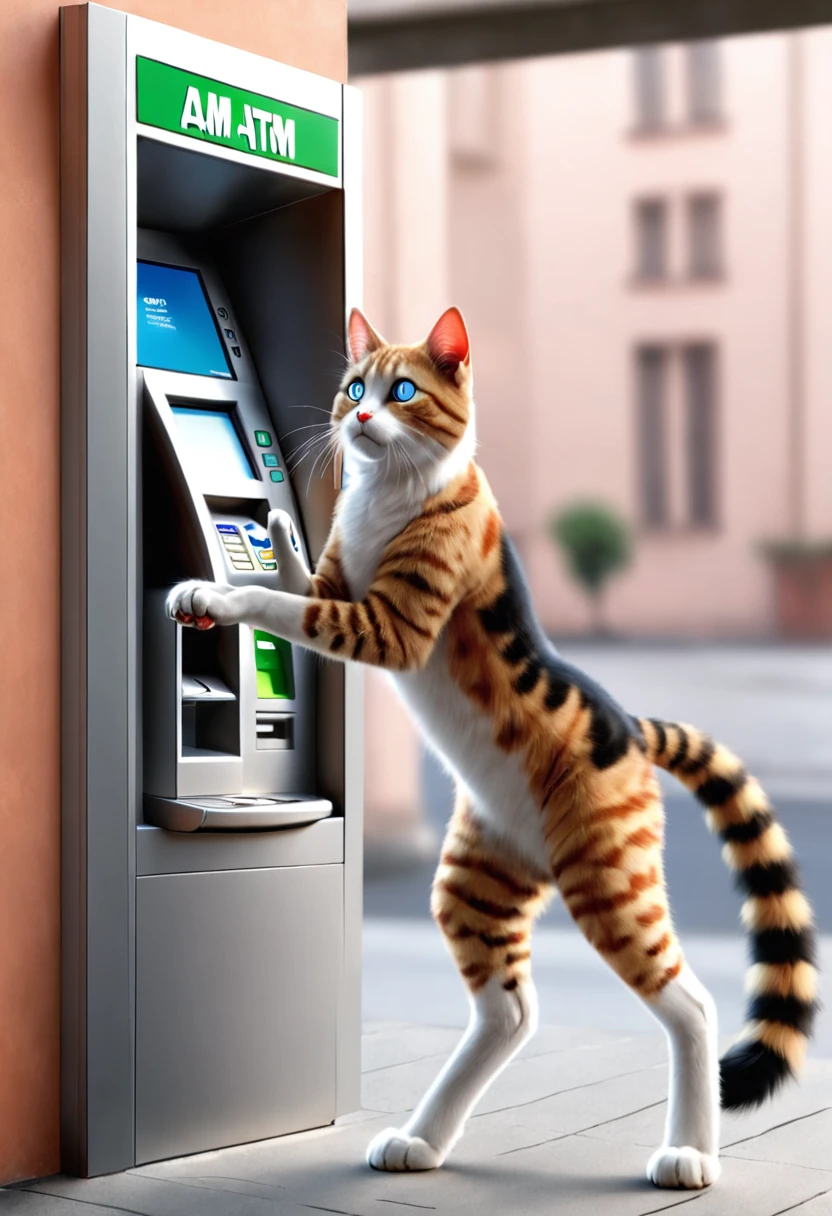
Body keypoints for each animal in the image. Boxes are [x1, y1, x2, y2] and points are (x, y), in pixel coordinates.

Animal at [169, 304, 817, 1186]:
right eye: (354, 387)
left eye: (404, 392)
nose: (359, 419)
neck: (389, 489)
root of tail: (628, 724)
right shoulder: (341, 587)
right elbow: (303, 580)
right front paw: (270, 529)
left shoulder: (387, 626)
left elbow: (284, 606)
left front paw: (224, 590)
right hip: (478, 874)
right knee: (511, 1010)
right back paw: (423, 1138)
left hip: (609, 879)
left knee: (692, 1004)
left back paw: (689, 1151)